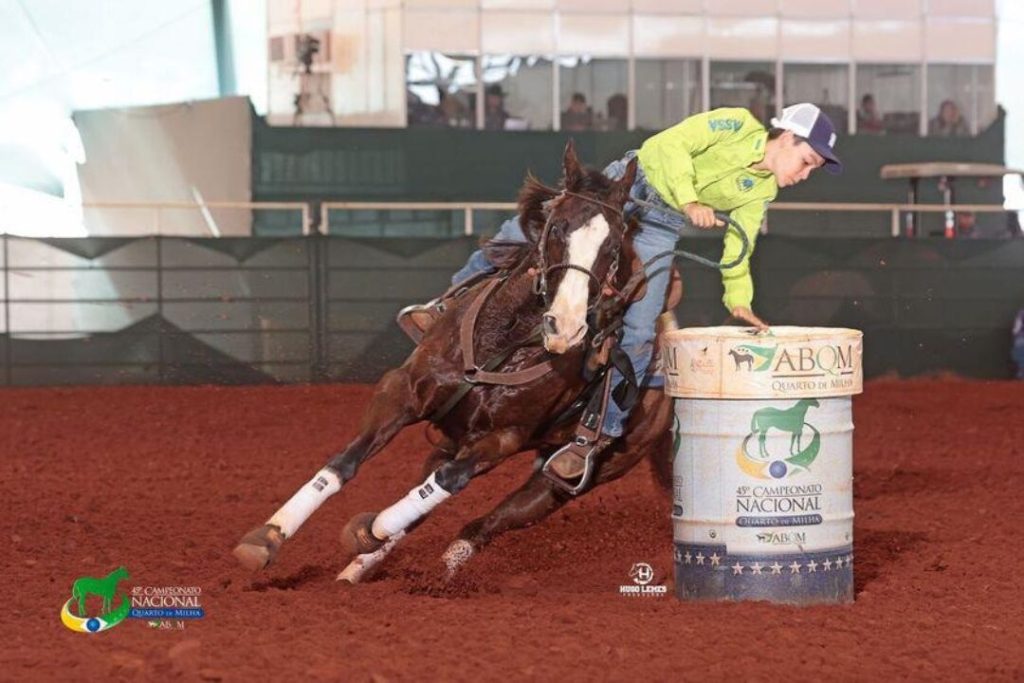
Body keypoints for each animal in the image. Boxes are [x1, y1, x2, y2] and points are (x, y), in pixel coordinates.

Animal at [234, 141, 679, 585]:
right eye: (556, 228)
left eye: (612, 248)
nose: (566, 327)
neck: (504, 342)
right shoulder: (401, 390)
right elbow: (345, 463)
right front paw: (266, 539)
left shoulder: (502, 439)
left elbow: (447, 483)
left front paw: (368, 528)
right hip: (451, 438)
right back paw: (353, 572)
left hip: (576, 476)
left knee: (487, 521)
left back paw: (427, 563)